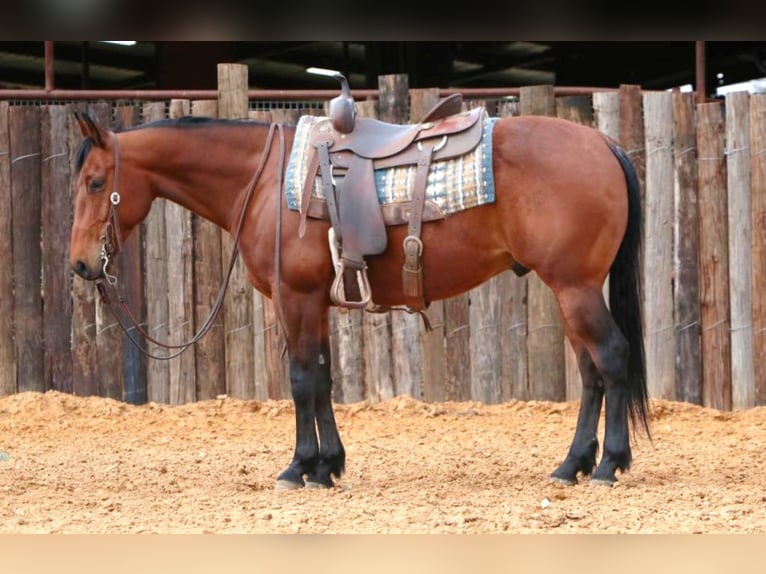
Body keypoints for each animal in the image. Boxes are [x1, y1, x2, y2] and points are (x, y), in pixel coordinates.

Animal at [69, 103, 652, 490]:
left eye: (96, 182)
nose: (80, 263)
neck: (263, 182)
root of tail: (603, 144)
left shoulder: (296, 299)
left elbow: (302, 380)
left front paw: (299, 467)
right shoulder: (315, 304)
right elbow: (324, 379)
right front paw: (328, 465)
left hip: (575, 287)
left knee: (612, 358)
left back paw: (607, 465)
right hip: (570, 290)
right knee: (590, 372)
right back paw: (571, 465)